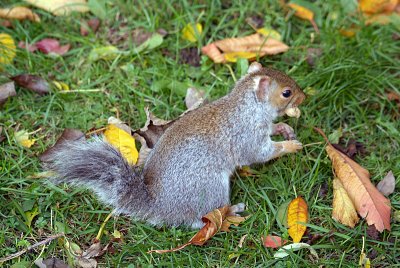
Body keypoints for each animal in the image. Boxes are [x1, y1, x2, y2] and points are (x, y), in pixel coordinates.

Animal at [48, 62, 308, 228]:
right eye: (286, 93)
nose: (304, 97)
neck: (249, 106)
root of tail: (161, 205)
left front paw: (282, 129)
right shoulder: (247, 135)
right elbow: (260, 153)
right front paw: (291, 146)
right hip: (210, 188)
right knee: (198, 220)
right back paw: (231, 212)